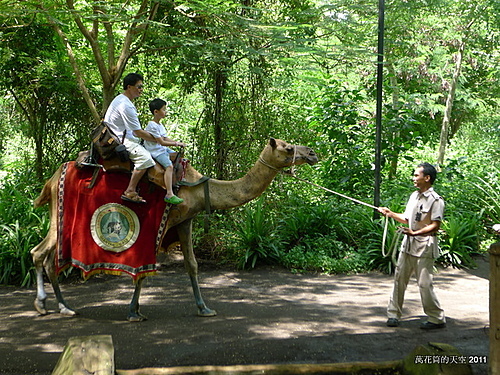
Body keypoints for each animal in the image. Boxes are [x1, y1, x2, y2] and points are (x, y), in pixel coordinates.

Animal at [31, 140, 318, 322]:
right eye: (287, 147)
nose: (312, 153)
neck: (197, 187)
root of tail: (52, 179)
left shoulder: (184, 221)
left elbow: (192, 264)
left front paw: (204, 308)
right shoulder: (164, 221)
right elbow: (145, 268)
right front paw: (134, 312)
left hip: (57, 215)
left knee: (48, 257)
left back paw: (64, 307)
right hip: (61, 214)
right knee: (39, 252)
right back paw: (44, 305)